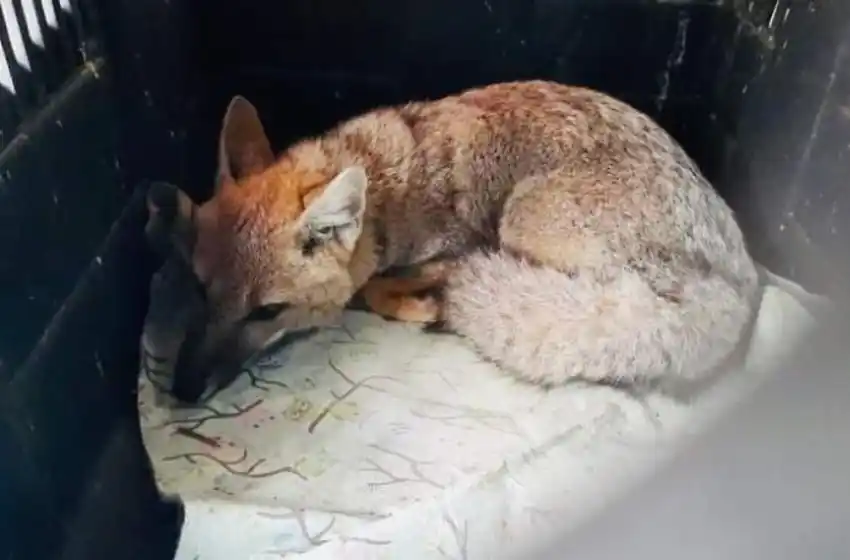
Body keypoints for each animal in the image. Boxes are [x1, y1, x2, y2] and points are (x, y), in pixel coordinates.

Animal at [145, 80, 760, 404]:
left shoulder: (458, 245)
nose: (182, 390)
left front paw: (419, 302)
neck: (384, 194)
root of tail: (740, 283)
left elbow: (373, 289)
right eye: (198, 292)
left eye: (265, 312)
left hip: (523, 219)